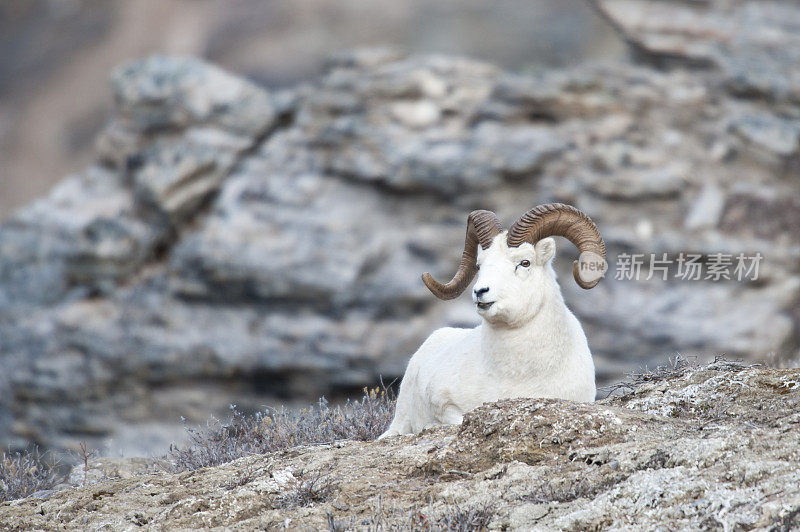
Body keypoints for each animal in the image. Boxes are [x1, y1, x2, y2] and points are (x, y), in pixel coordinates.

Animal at [382, 204, 608, 436]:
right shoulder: (444, 403)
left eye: (524, 262)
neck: (518, 375)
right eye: (479, 265)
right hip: (400, 420)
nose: (480, 292)